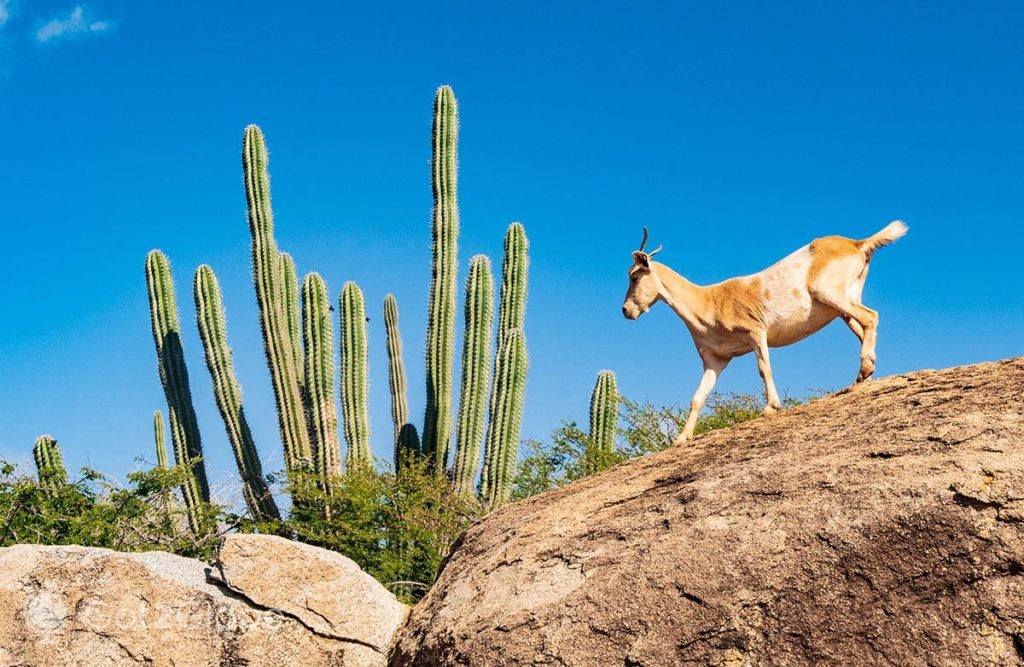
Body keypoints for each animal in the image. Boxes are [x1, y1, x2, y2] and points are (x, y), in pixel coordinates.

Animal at [618, 221, 909, 446]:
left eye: (634, 276)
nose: (626, 310)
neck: (709, 302)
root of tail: (857, 243)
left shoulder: (756, 332)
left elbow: (763, 369)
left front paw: (770, 408)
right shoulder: (715, 359)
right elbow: (698, 396)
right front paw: (680, 439)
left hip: (830, 293)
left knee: (871, 317)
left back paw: (865, 370)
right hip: (843, 305)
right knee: (863, 327)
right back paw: (864, 377)